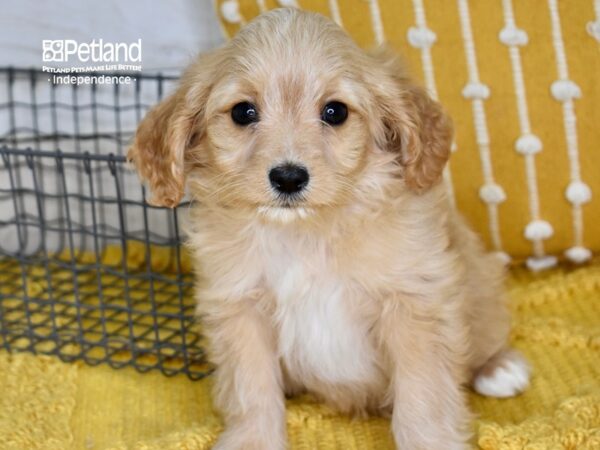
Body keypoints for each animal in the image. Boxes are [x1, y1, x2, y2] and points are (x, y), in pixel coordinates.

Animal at [127, 7, 528, 450]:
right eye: (242, 112)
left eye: (335, 112)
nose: (288, 177)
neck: (307, 233)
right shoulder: (240, 307)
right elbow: (252, 390)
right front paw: (253, 439)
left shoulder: (415, 304)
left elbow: (422, 398)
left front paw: (430, 442)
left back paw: (498, 367)